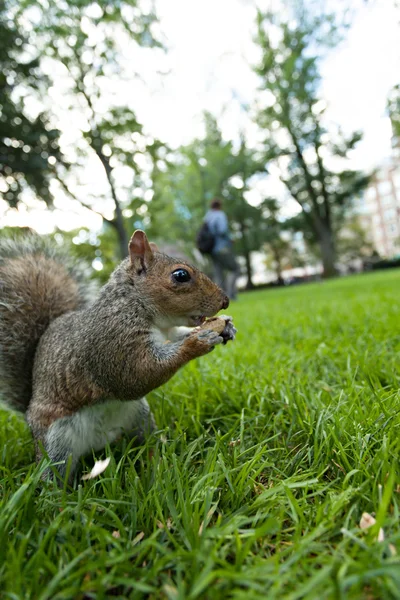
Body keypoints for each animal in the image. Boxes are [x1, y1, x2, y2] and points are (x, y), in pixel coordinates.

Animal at [0, 230, 236, 482]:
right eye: (181, 275)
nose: (225, 301)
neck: (138, 308)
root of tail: (98, 444)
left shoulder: (168, 332)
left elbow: (175, 337)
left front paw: (226, 327)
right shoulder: (112, 343)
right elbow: (137, 375)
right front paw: (196, 343)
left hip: (139, 419)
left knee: (145, 442)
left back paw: (157, 458)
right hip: (55, 445)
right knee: (53, 474)